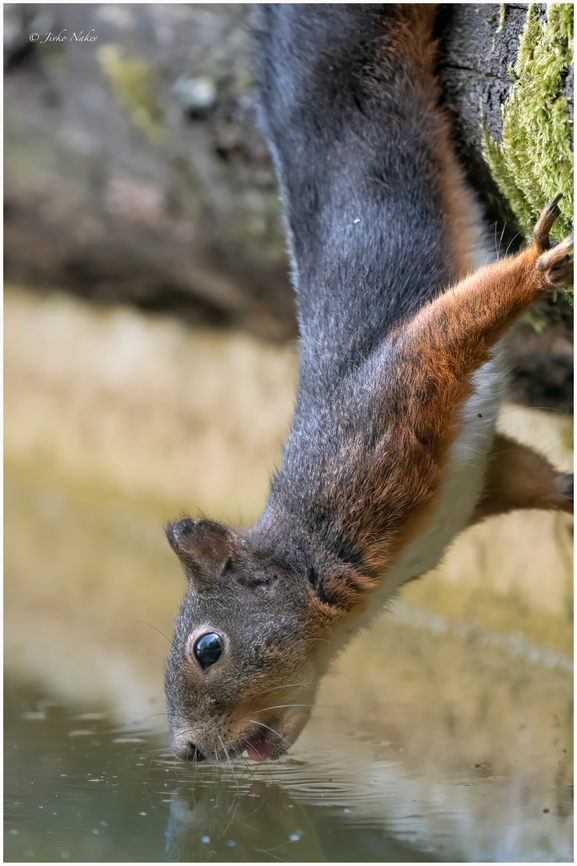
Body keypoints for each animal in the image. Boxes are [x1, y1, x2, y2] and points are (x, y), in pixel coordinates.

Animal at [164, 5, 573, 764]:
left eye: (208, 648)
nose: (189, 754)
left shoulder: (383, 423)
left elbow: (443, 333)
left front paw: (537, 267)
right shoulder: (477, 476)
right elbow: (529, 474)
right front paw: (572, 490)